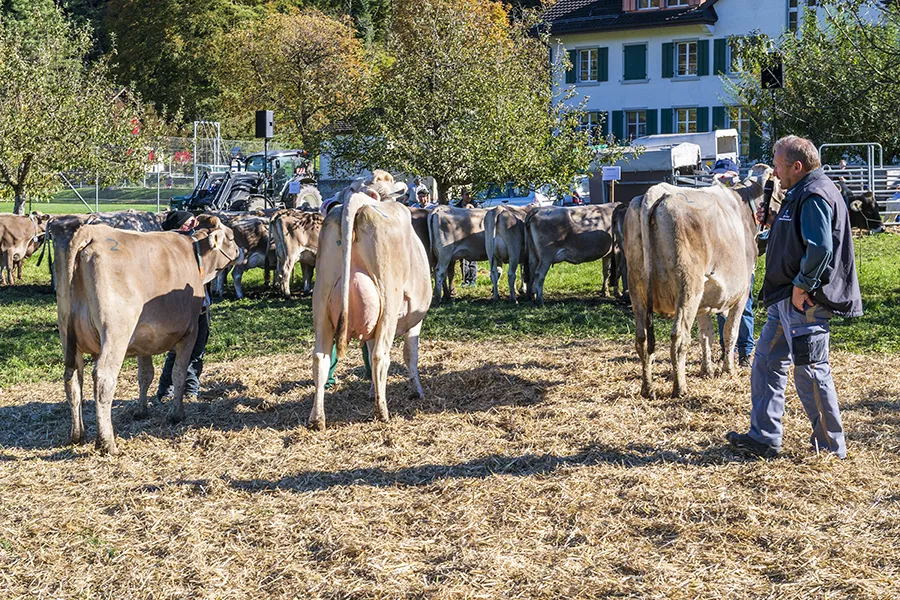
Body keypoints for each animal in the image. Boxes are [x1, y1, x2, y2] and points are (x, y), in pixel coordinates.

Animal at [59, 220, 243, 454]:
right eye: (231, 237)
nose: (241, 251)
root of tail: (91, 231)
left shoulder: (142, 341)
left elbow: (145, 375)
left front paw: (141, 410)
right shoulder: (189, 333)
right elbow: (178, 373)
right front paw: (177, 414)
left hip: (68, 337)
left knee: (72, 379)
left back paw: (77, 435)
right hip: (115, 334)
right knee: (103, 379)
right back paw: (107, 443)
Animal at [624, 164, 776, 398]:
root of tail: (654, 192)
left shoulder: (704, 300)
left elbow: (706, 335)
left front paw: (708, 369)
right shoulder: (741, 293)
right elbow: (730, 332)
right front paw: (728, 370)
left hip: (637, 288)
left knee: (642, 339)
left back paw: (647, 388)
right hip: (689, 287)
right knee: (679, 338)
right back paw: (680, 388)